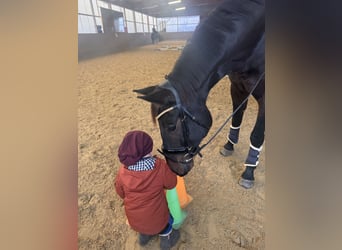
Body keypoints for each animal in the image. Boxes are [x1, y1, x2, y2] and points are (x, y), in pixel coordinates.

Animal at [134, 0, 264, 188]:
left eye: (171, 126)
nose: (175, 169)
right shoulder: (237, 87)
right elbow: (237, 117)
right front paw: (229, 146)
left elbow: (256, 134)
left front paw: (249, 172)